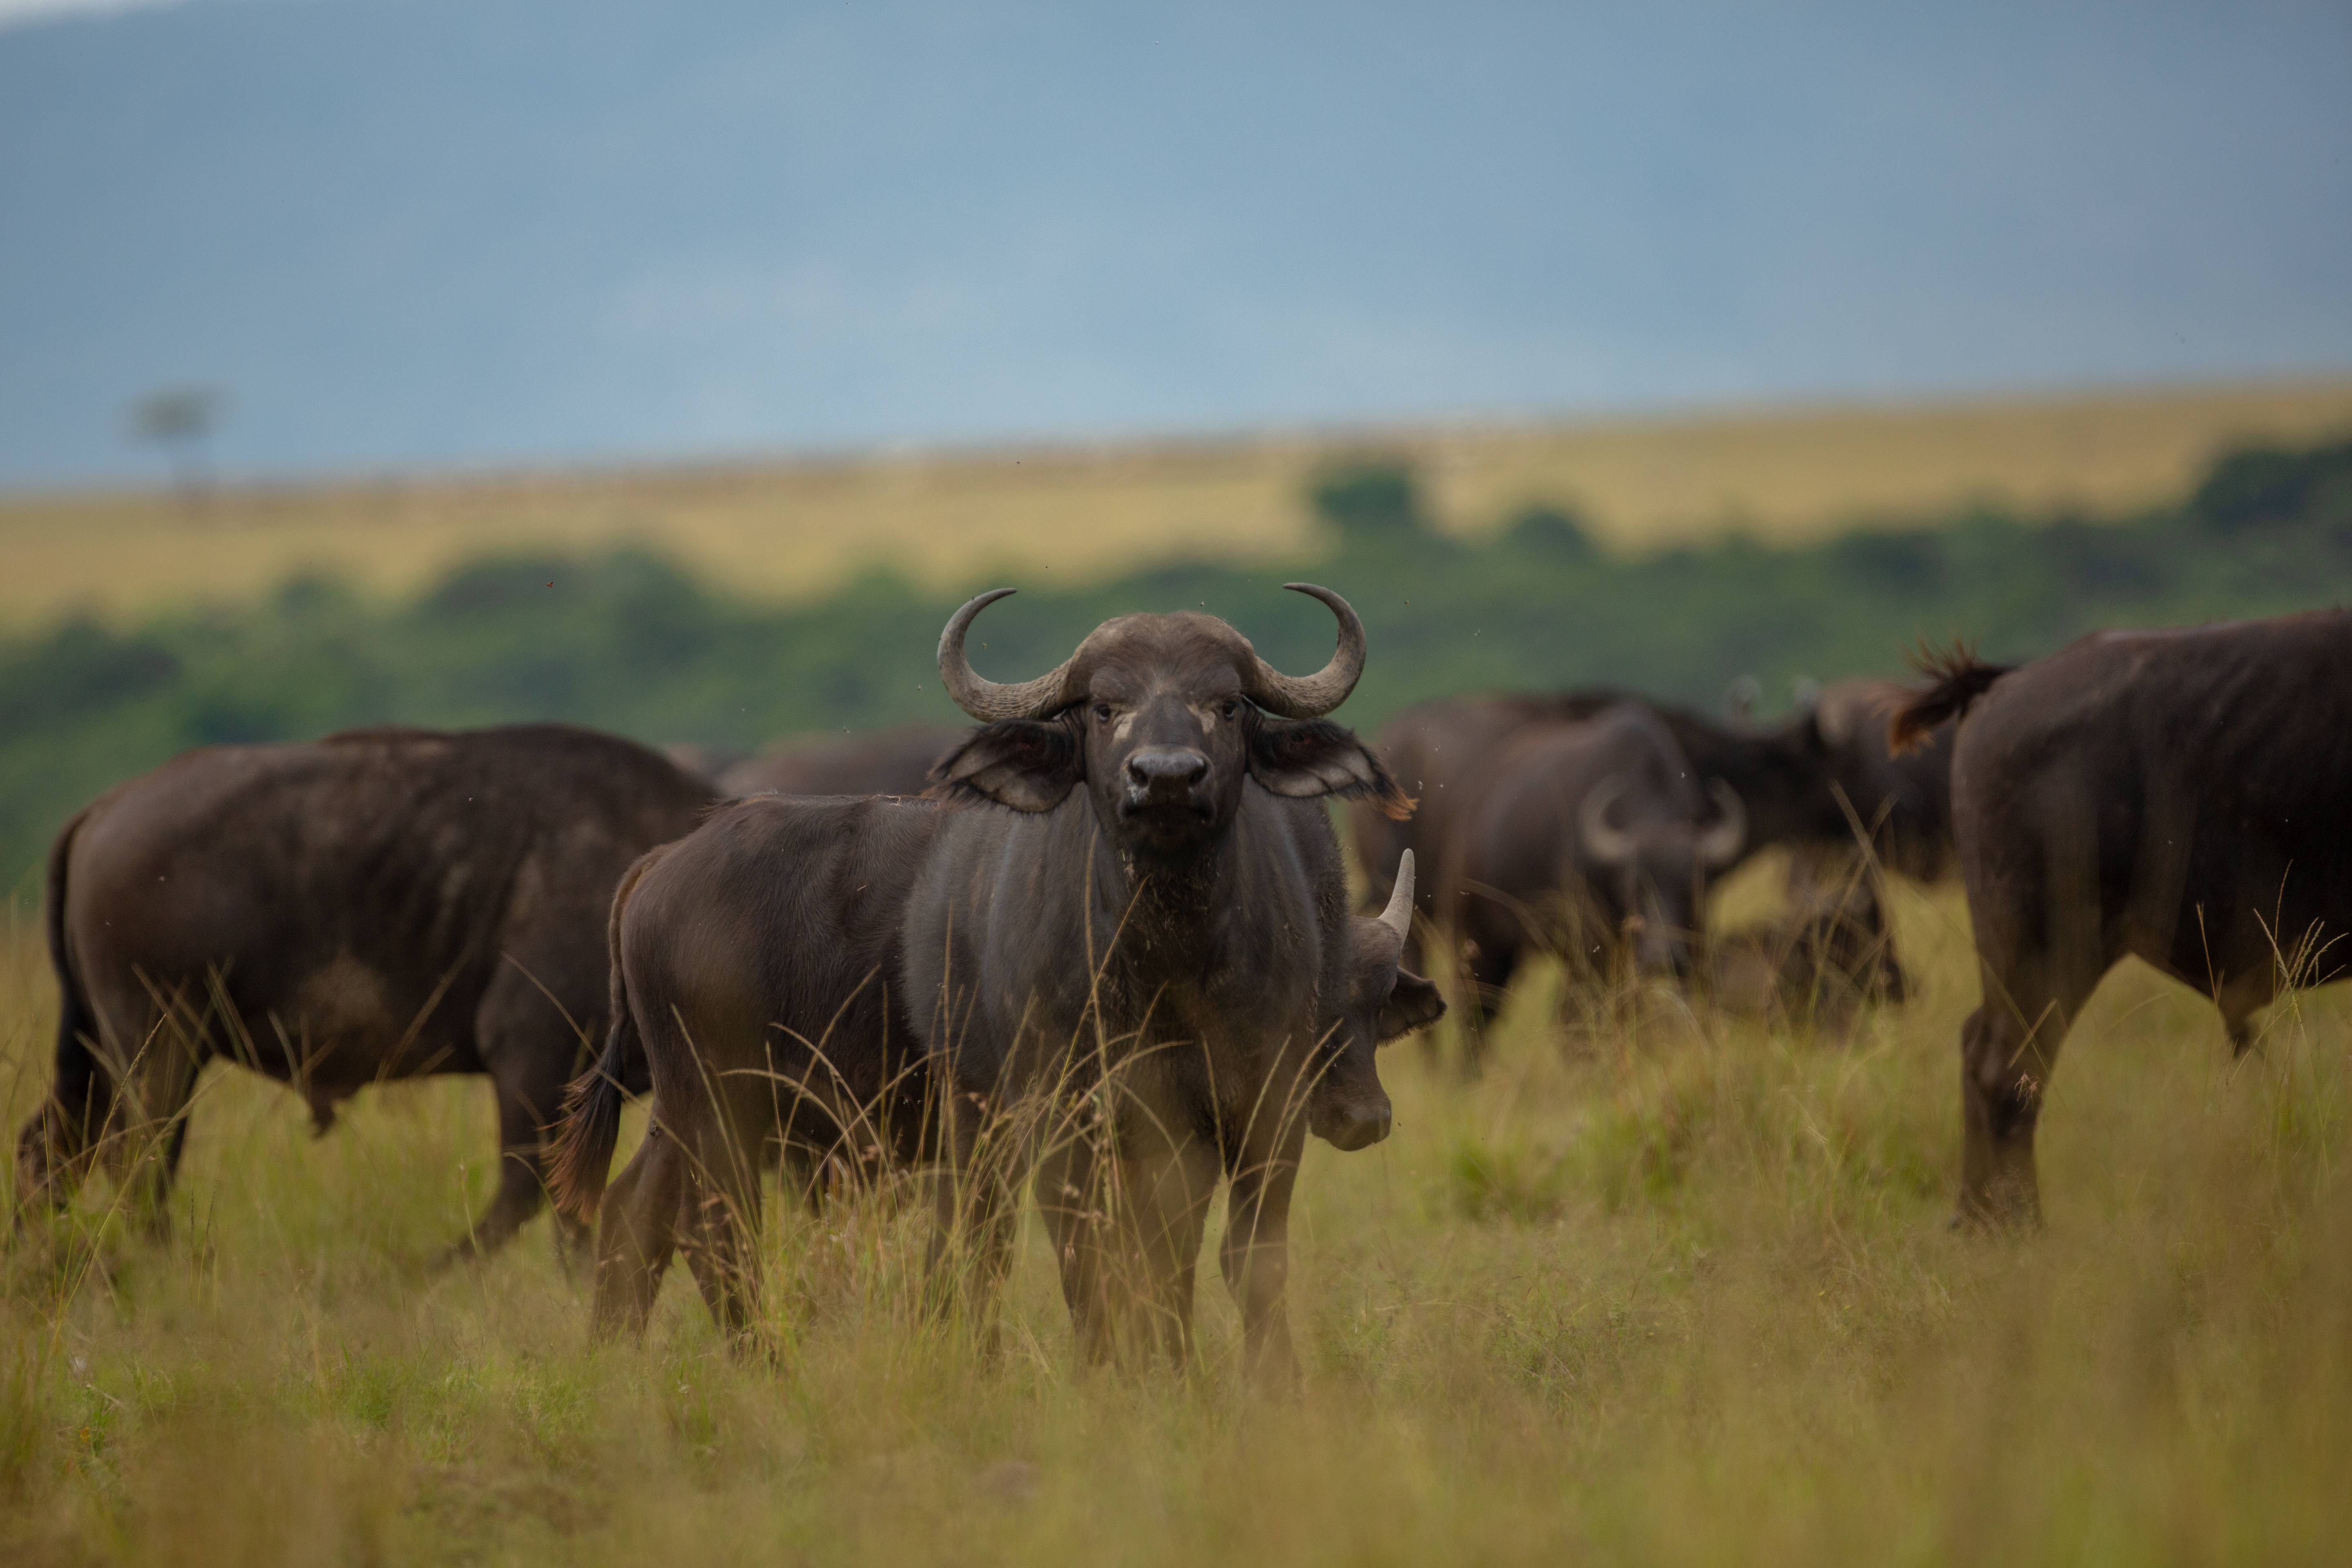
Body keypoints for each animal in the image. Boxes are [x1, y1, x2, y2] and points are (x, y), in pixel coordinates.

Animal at [15, 724, 714, 1259]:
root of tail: (105, 809)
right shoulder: (535, 1059)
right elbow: (538, 1198)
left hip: (101, 1056)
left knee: (50, 1150)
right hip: (157, 1047)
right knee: (139, 1162)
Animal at [553, 586, 1437, 1383]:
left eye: (1226, 706)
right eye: (1104, 708)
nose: (1166, 779)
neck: (1168, 955)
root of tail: (663, 863)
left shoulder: (1254, 1111)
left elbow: (1217, 1261)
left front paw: (1232, 1378)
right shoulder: (1065, 1118)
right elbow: (1095, 1262)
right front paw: (1120, 1377)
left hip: (686, 1112)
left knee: (635, 1219)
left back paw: (617, 1363)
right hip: (718, 1105)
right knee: (714, 1234)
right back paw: (761, 1365)